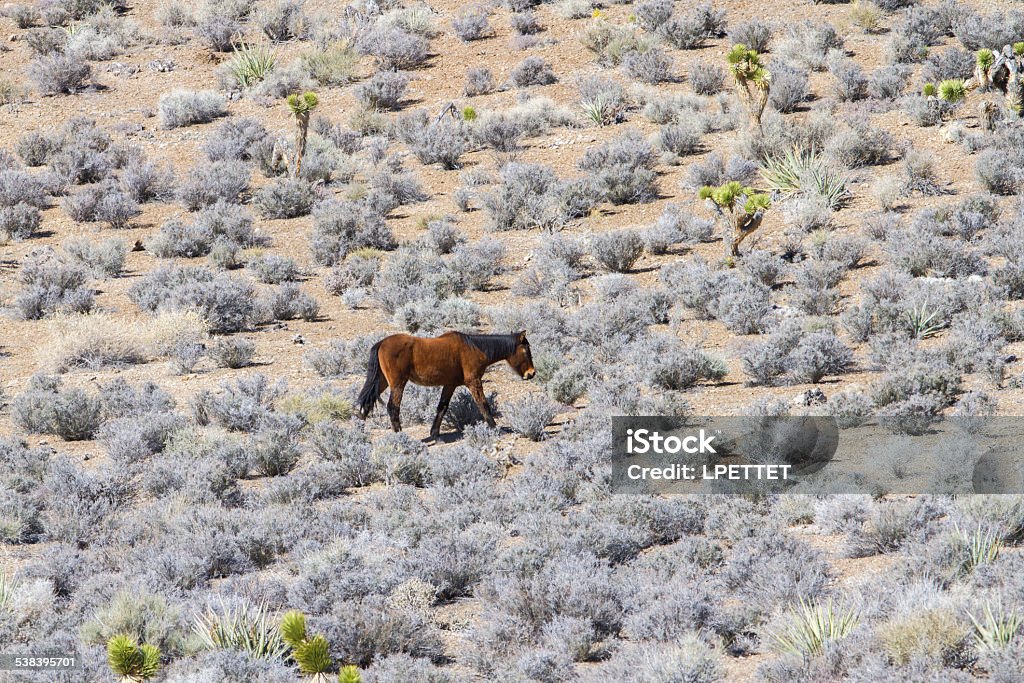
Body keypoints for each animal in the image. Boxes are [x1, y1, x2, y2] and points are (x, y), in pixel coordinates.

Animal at [356, 329, 536, 438]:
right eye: (526, 350)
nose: (532, 373)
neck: (475, 349)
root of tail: (381, 343)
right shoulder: (474, 382)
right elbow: (483, 405)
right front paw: (494, 428)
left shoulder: (450, 385)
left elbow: (442, 407)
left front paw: (434, 433)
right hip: (398, 383)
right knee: (393, 407)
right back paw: (400, 437)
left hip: (382, 382)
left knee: (367, 403)